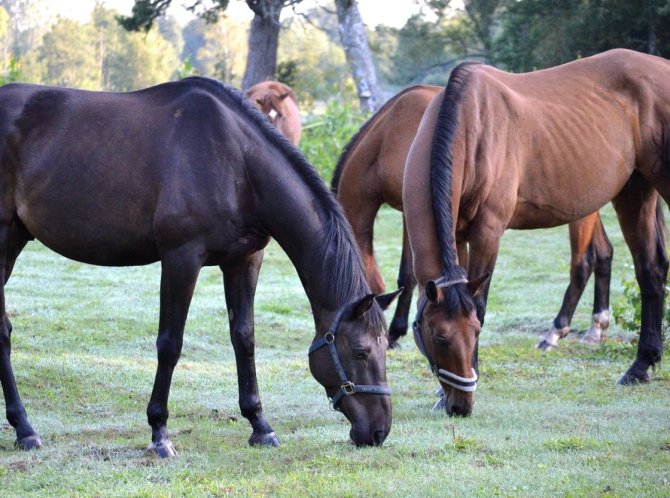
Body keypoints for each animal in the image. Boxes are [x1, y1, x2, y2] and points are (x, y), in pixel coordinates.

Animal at [0, 77, 400, 456]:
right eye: (360, 351)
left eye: (385, 348)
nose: (378, 432)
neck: (237, 162)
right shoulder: (181, 258)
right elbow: (170, 343)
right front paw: (159, 432)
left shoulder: (244, 260)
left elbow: (244, 337)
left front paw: (260, 425)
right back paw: (25, 430)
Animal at [330, 84, 616, 350]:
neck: (387, 135)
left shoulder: (411, 213)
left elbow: (407, 274)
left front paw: (395, 332)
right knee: (604, 252)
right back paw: (596, 327)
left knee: (582, 263)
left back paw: (556, 331)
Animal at [404, 49, 670, 416]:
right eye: (440, 337)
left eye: (475, 332)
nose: (461, 405)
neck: (469, 124)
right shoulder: (457, 236)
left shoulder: (487, 231)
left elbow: (481, 303)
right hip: (635, 191)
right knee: (650, 270)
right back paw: (641, 366)